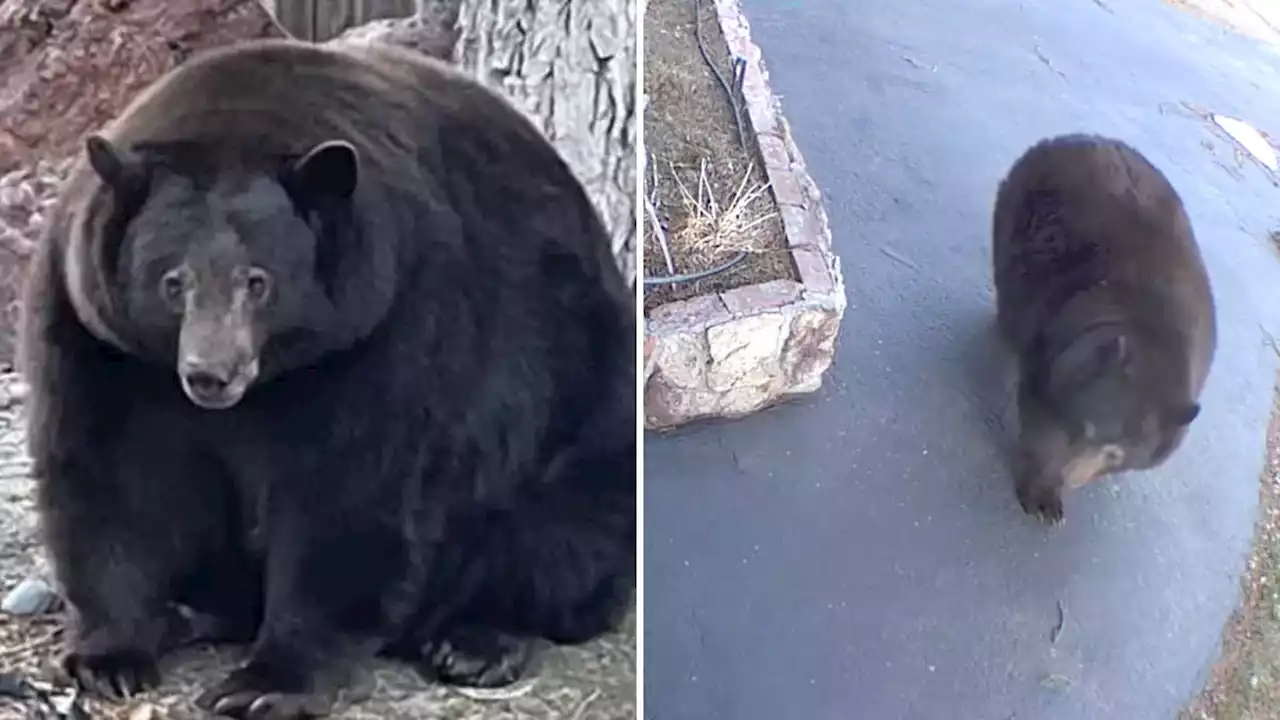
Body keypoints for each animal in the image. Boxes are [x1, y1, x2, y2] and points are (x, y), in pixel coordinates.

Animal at [18, 40, 634, 717]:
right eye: (173, 281)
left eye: (258, 281)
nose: (211, 375)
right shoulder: (98, 336)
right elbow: (111, 473)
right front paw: (110, 657)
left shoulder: (390, 322)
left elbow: (349, 492)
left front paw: (265, 682)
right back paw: (189, 612)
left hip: (580, 402)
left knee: (558, 537)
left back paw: (475, 640)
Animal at [993, 134, 1213, 525]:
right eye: (1089, 427)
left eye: (1116, 454)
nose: (1072, 478)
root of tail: (1076, 138)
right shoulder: (1057, 342)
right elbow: (1041, 420)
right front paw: (1043, 495)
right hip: (1017, 214)